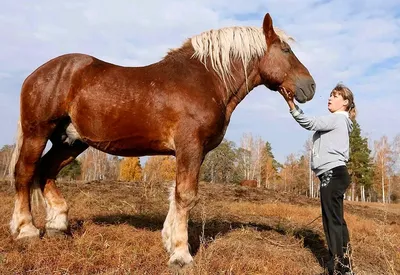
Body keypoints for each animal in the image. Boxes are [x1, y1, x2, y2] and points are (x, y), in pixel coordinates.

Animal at [7, 12, 316, 268]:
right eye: (286, 49)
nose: (310, 87)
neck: (206, 80)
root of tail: (36, 74)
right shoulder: (190, 146)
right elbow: (186, 195)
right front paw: (181, 255)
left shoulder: (192, 151)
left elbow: (176, 194)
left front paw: (169, 241)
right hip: (38, 132)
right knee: (25, 172)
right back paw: (26, 230)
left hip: (70, 141)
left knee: (46, 171)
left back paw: (58, 226)